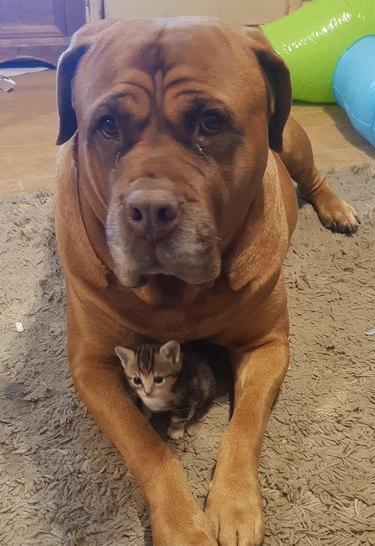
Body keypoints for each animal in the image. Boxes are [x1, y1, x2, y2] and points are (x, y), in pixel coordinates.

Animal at [54, 17, 360, 544]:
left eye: (211, 123)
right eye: (108, 125)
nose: (150, 210)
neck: (177, 296)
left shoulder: (267, 345)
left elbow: (246, 425)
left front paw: (234, 507)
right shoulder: (91, 368)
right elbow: (145, 447)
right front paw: (183, 524)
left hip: (294, 142)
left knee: (313, 175)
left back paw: (337, 209)